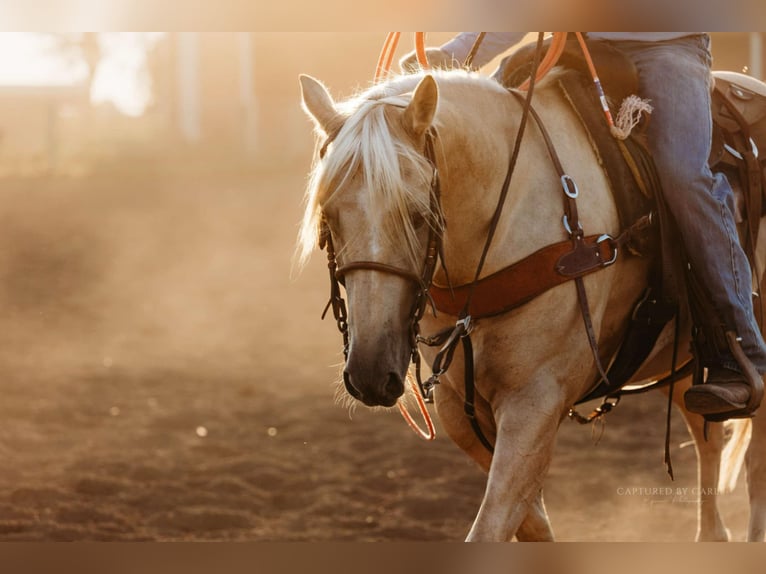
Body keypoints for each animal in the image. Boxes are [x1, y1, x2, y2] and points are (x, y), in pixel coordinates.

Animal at [296, 68, 764, 544]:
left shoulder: (535, 401)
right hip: (683, 359)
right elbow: (530, 520)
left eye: (418, 214)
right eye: (329, 217)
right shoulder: (459, 407)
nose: (370, 373)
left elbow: (494, 522)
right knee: (708, 440)